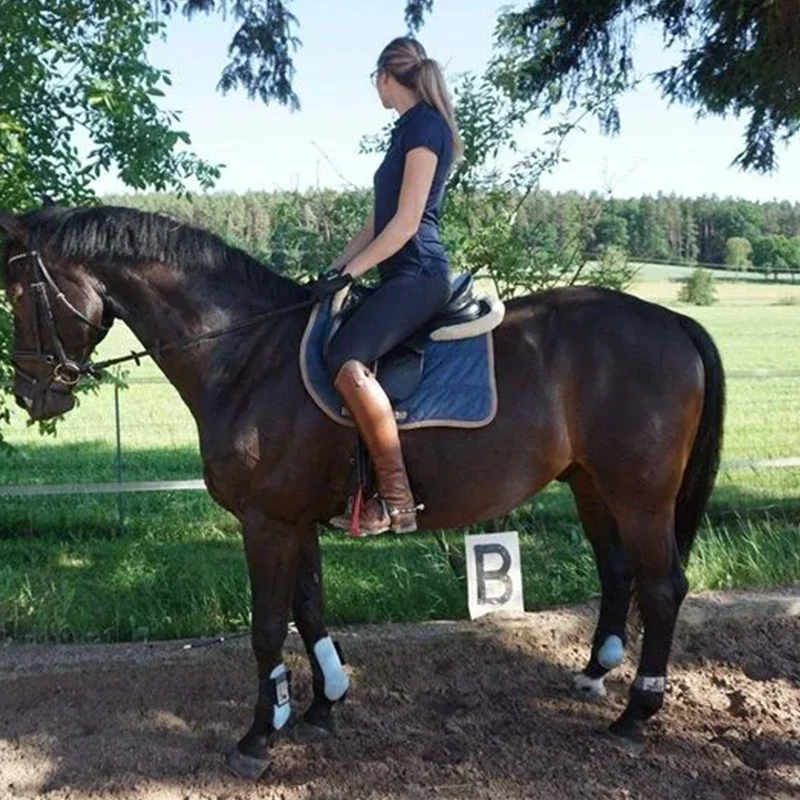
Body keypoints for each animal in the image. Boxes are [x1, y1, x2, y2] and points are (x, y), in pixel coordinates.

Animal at [0, 204, 724, 776]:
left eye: (19, 293)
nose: (32, 394)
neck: (247, 355)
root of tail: (670, 321)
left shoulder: (267, 520)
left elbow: (268, 626)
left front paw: (260, 736)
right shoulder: (291, 518)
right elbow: (310, 608)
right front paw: (322, 702)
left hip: (640, 494)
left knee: (663, 588)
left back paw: (636, 716)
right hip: (593, 485)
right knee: (618, 572)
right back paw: (595, 675)